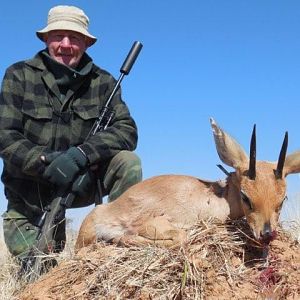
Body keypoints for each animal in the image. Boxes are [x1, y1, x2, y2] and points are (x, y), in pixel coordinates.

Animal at [76, 118, 300, 250]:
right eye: (246, 196)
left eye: (282, 199)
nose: (267, 234)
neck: (216, 198)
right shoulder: (155, 223)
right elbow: (181, 237)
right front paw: (122, 238)